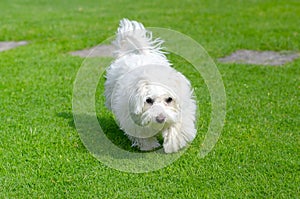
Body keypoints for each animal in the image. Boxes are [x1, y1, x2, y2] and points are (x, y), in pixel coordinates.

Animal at [103, 18, 197, 153]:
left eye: (169, 99)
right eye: (148, 100)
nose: (160, 118)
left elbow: (176, 127)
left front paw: (172, 144)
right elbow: (142, 133)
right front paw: (149, 146)